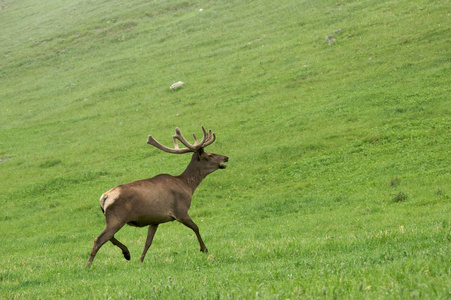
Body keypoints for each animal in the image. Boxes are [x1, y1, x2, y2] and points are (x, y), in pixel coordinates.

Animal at [87, 125, 230, 266]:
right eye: (210, 155)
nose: (226, 157)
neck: (187, 186)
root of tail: (104, 197)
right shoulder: (180, 211)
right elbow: (196, 227)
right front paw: (204, 249)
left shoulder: (155, 220)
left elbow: (148, 242)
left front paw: (140, 261)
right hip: (117, 218)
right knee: (99, 239)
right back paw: (88, 265)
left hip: (112, 218)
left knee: (108, 237)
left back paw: (126, 253)